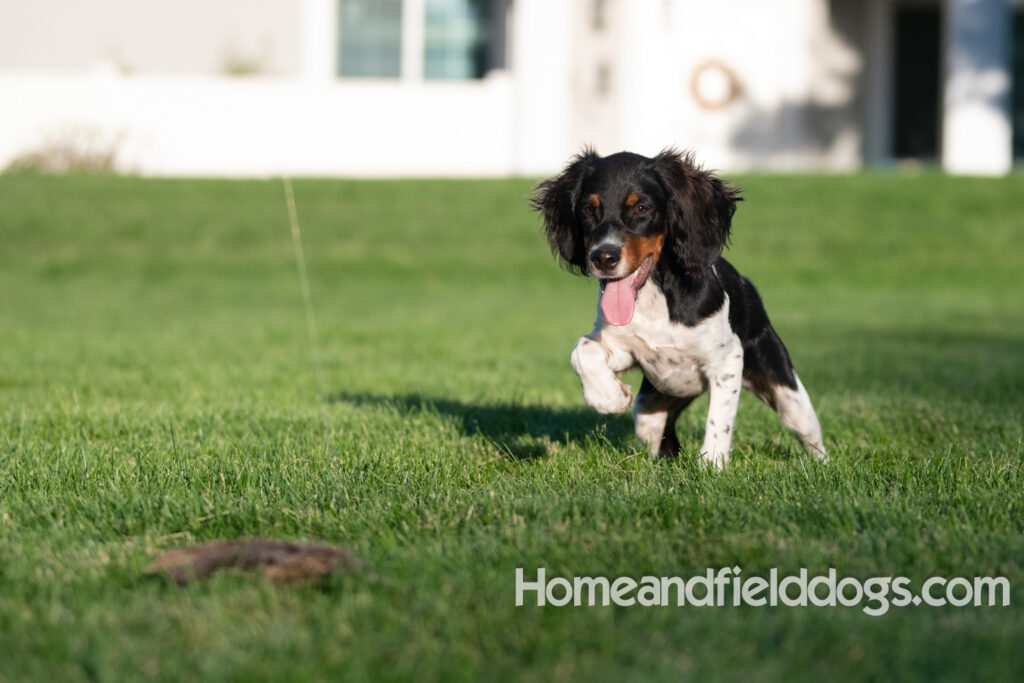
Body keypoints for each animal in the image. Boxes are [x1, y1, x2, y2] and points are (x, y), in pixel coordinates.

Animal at [532, 149, 827, 466]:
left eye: (641, 209)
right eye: (588, 210)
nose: (603, 258)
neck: (654, 296)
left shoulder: (727, 360)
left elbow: (719, 420)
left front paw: (712, 465)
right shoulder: (626, 350)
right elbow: (582, 350)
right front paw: (609, 397)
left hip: (787, 393)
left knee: (809, 433)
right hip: (651, 406)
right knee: (663, 438)